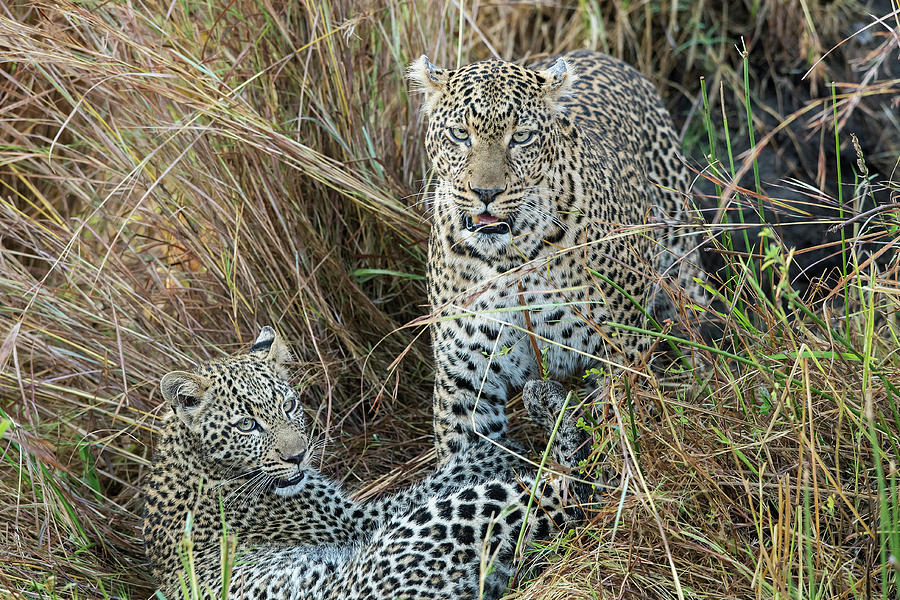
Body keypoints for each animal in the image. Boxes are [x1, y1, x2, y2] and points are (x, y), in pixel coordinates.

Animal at [408, 49, 712, 462]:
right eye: (460, 134)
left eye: (521, 137)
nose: (486, 193)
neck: (509, 258)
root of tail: (603, 54)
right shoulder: (465, 375)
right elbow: (466, 451)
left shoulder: (622, 350)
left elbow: (621, 429)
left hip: (682, 264)